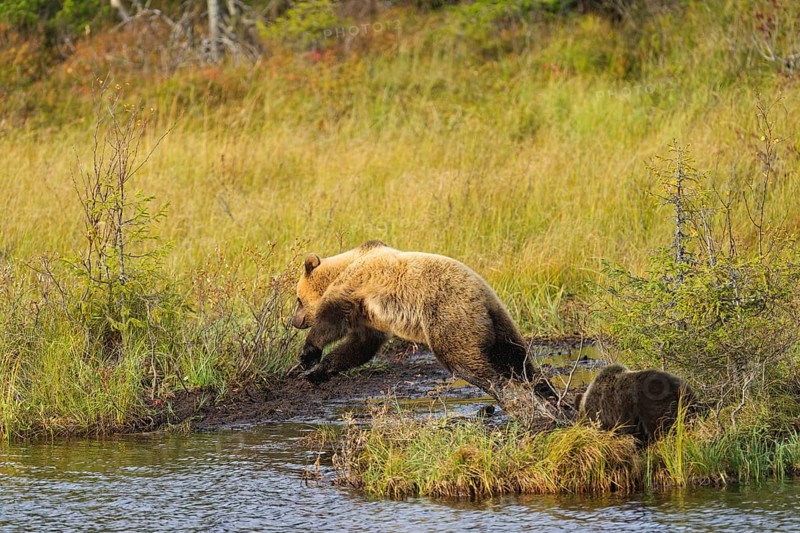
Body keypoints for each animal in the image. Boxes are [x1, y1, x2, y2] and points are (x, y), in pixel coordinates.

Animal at [292, 240, 556, 403]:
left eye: (298, 299)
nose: (295, 321)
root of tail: (483, 298)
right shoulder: (370, 318)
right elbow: (359, 346)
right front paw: (316, 373)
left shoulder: (358, 284)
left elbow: (332, 320)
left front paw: (308, 355)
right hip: (501, 323)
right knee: (518, 359)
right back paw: (548, 396)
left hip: (450, 316)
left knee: (466, 361)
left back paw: (507, 394)